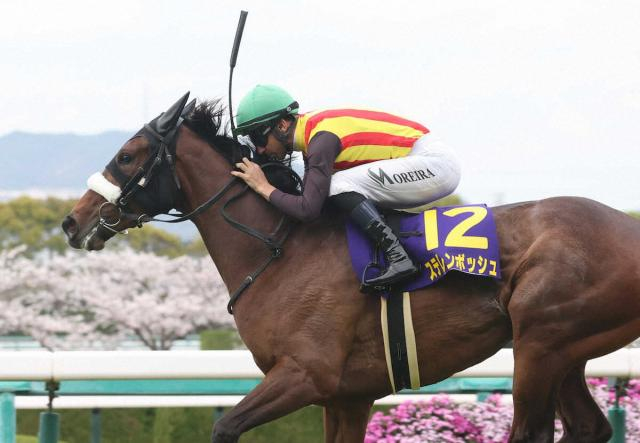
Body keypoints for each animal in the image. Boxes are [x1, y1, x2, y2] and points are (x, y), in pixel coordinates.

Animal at [62, 94, 640, 443]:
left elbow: (225, 427)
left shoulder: (305, 374)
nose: (72, 222)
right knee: (588, 427)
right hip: (560, 349)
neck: (280, 251)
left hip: (540, 343)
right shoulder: (347, 394)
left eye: (128, 155)